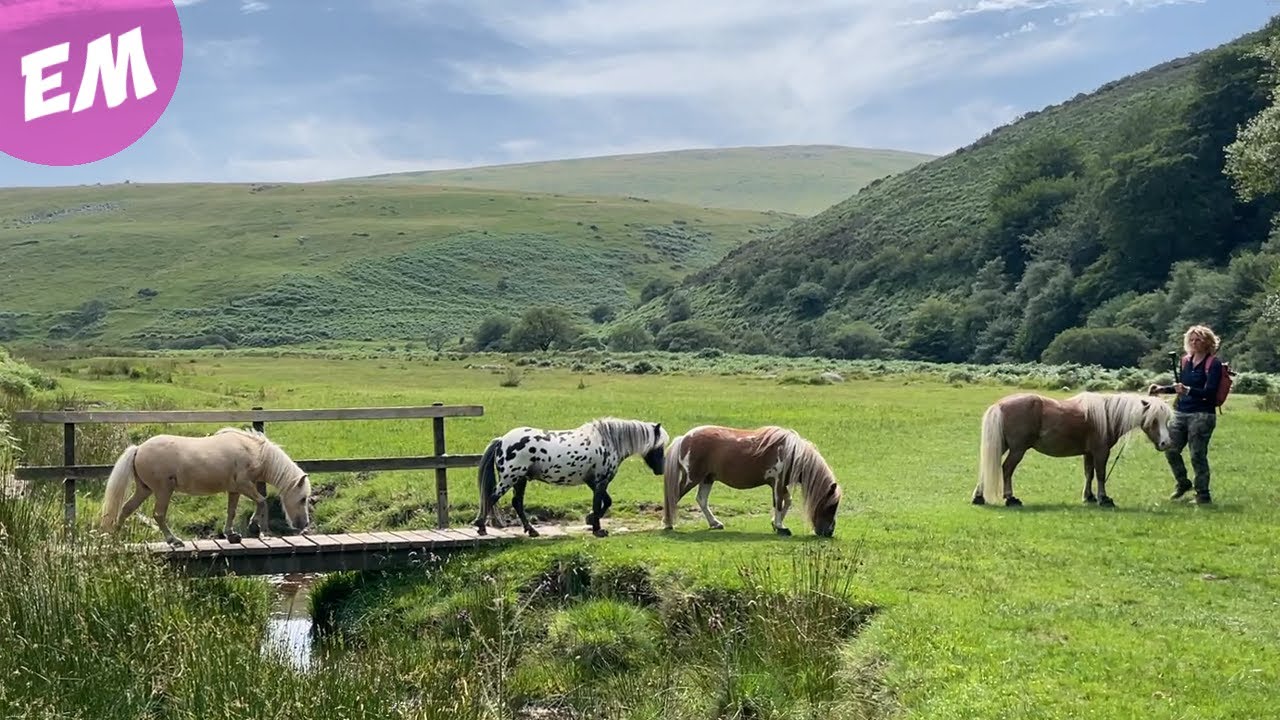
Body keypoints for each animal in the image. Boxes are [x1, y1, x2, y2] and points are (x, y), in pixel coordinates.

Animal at [97, 425, 312, 543]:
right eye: (303, 498)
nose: (304, 524)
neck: (255, 452)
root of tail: (139, 448)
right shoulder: (244, 485)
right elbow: (262, 501)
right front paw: (253, 526)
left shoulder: (234, 490)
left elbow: (231, 511)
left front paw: (231, 535)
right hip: (162, 490)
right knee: (158, 515)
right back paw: (174, 541)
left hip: (145, 490)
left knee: (126, 509)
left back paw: (115, 539)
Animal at [473, 412, 670, 535]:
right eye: (659, 446)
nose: (661, 469)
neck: (609, 441)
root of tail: (501, 440)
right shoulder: (601, 480)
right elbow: (599, 502)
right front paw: (598, 529)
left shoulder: (592, 481)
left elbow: (606, 502)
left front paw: (591, 519)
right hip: (510, 478)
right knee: (492, 497)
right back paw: (481, 527)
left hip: (520, 480)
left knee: (517, 503)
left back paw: (531, 530)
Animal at [665, 422, 844, 535]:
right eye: (831, 506)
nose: (828, 532)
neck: (791, 452)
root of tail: (684, 438)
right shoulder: (777, 482)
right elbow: (779, 503)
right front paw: (780, 528)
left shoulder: (780, 484)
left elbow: (787, 502)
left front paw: (777, 525)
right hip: (692, 478)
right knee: (673, 496)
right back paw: (668, 524)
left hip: (707, 478)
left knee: (701, 500)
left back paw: (715, 523)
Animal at [972, 389, 1172, 507]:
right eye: (1153, 420)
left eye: (1166, 420)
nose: (1165, 443)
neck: (1107, 415)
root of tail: (999, 405)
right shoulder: (1101, 452)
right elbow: (1100, 475)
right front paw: (1104, 499)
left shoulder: (1089, 453)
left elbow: (1089, 474)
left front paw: (1089, 497)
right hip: (1017, 450)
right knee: (1006, 469)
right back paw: (1010, 498)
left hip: (1002, 446)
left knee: (986, 468)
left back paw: (979, 497)